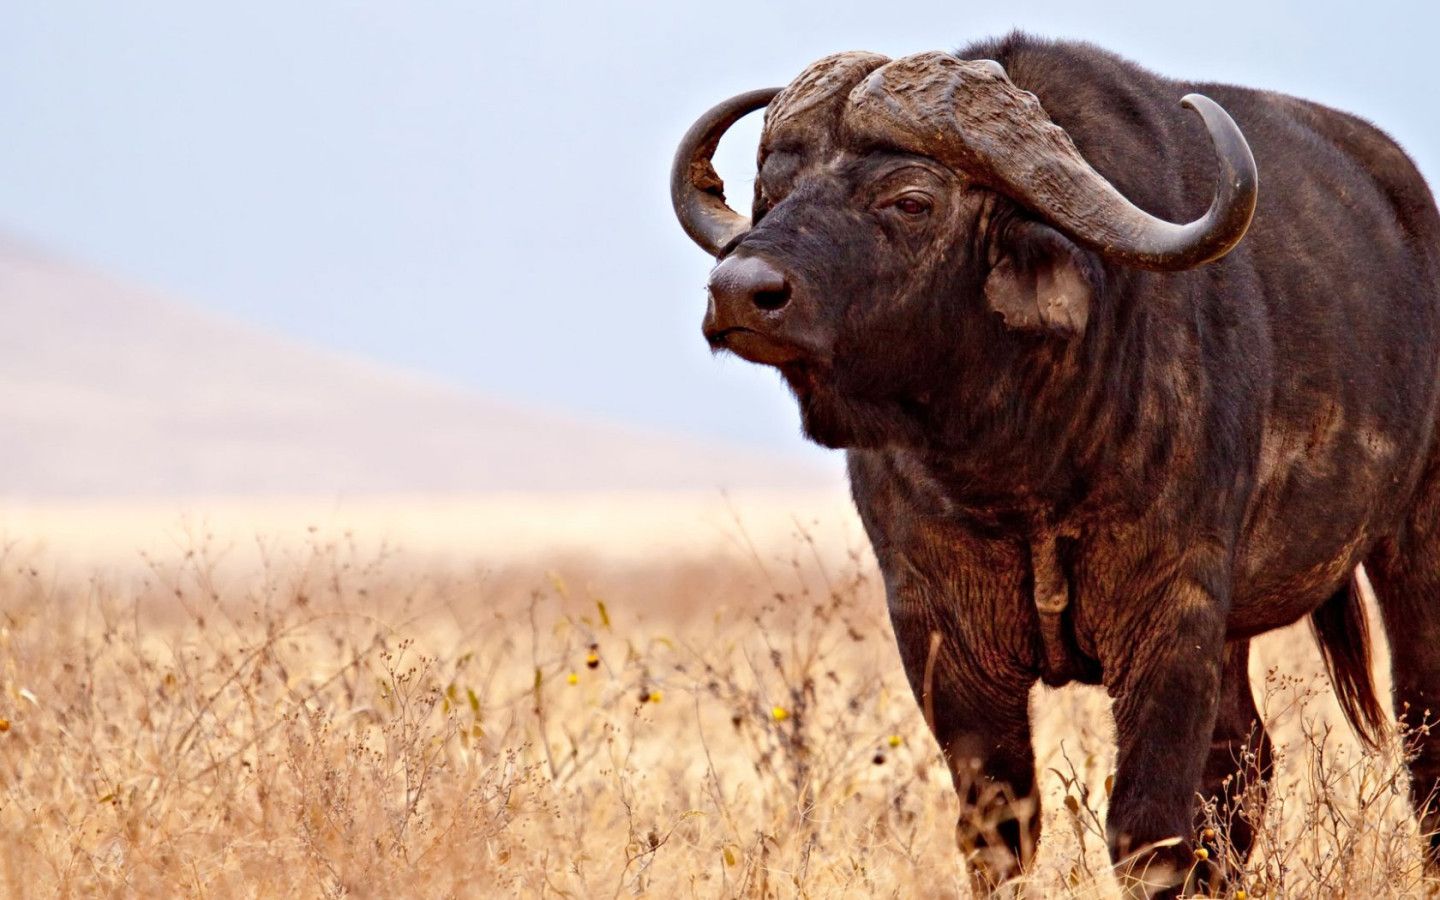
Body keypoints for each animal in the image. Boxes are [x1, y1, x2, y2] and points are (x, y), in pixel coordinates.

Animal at [669, 33, 1440, 897]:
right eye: (771, 190)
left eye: (911, 201)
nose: (740, 290)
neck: (1025, 457)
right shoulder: (941, 631)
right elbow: (997, 828)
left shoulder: (1170, 615)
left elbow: (1148, 831)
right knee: (1246, 760)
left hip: (1416, 545)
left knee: (1421, 737)